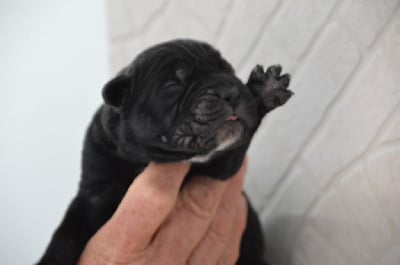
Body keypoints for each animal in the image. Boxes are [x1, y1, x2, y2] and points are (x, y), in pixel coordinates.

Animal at [37, 39, 292, 264]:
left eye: (228, 69)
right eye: (173, 85)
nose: (232, 90)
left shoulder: (218, 166)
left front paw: (264, 90)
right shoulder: (93, 195)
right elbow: (65, 235)